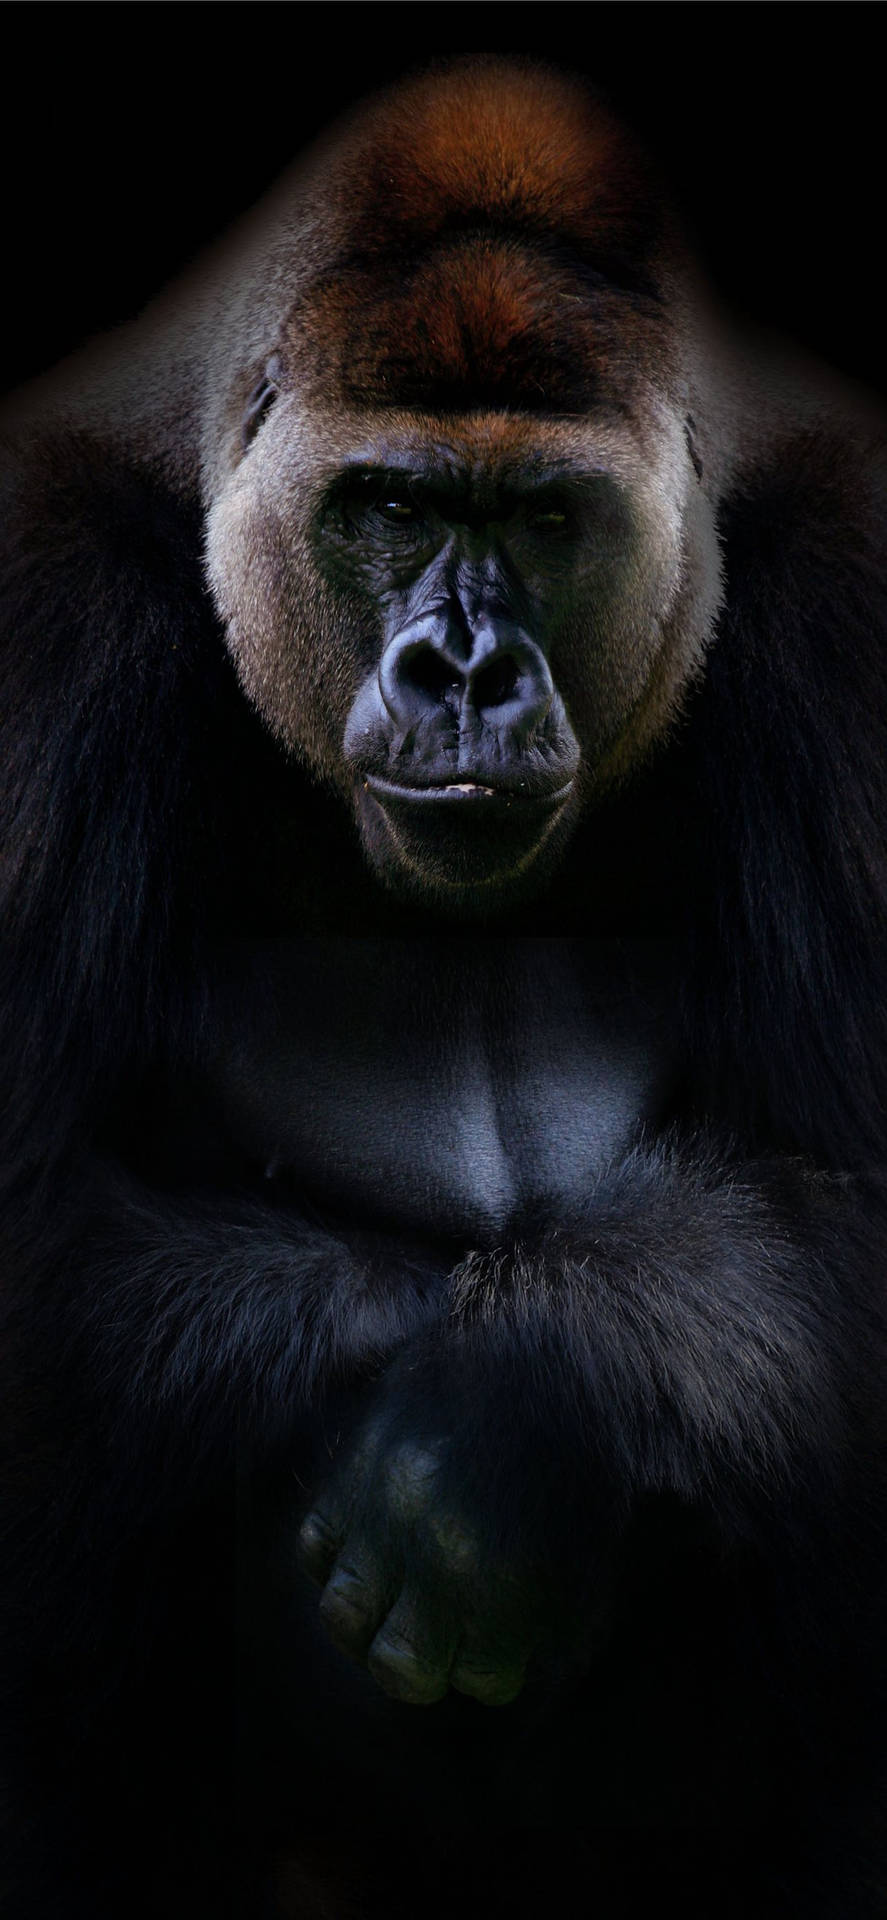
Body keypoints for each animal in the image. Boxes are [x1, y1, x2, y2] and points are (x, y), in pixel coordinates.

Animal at [1, 52, 887, 1920]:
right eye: (393, 505)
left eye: (544, 518)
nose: (464, 672)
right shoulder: (39, 602)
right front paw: (418, 1381)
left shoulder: (852, 587)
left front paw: (511, 1418)